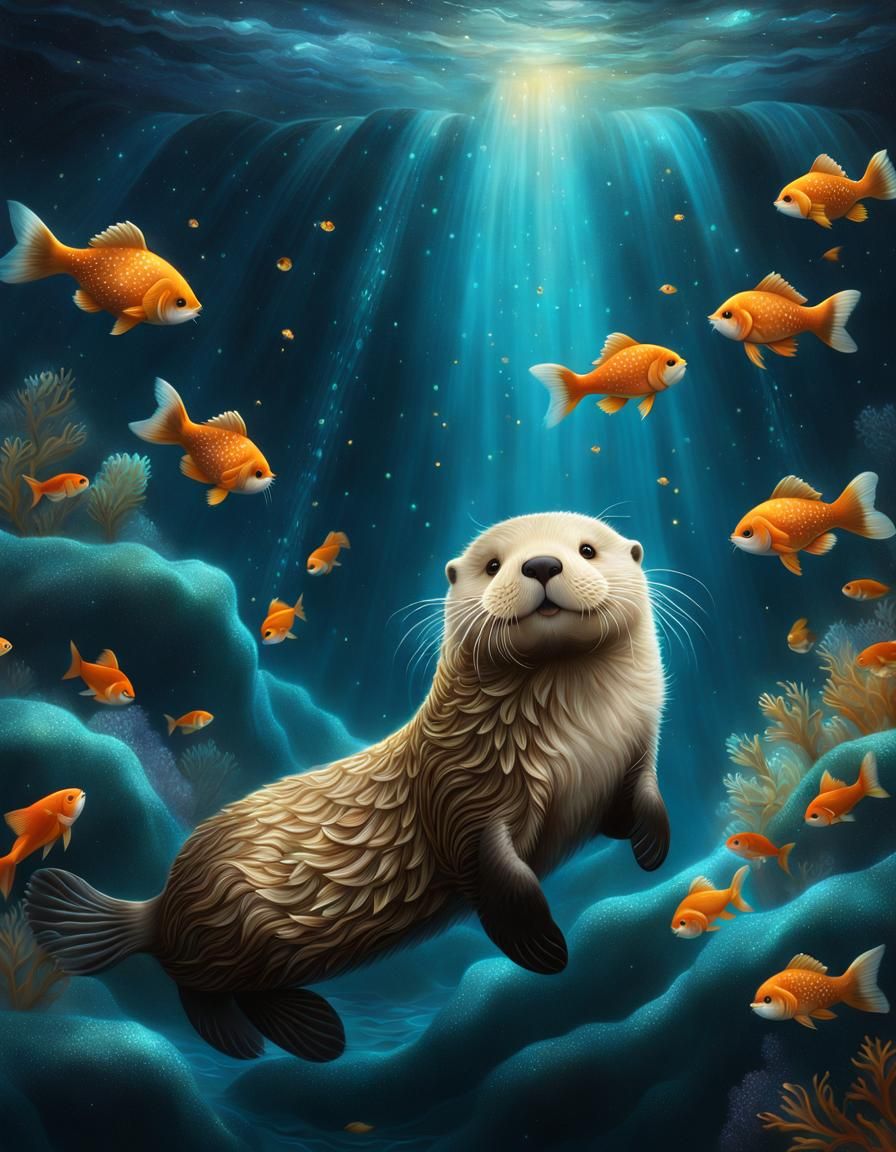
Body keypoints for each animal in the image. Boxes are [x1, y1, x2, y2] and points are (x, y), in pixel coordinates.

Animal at [26, 512, 669, 1062]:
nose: (540, 564)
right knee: (196, 990)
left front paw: (652, 847)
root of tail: (158, 907)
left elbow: (643, 799)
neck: (579, 746)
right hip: (230, 915)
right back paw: (272, 1040)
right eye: (493, 565)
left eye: (587, 549)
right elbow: (492, 872)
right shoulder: (463, 793)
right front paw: (545, 949)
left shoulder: (634, 754)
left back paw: (314, 1035)